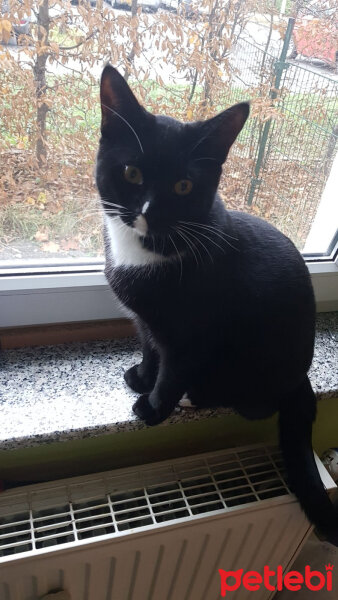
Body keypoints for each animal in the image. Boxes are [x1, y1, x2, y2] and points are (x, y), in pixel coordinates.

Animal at [95, 64, 338, 544]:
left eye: (183, 185)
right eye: (131, 173)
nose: (149, 210)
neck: (149, 250)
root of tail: (301, 377)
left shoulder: (193, 332)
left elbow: (173, 369)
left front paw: (153, 406)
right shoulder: (146, 322)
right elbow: (150, 347)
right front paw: (141, 376)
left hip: (258, 368)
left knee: (254, 403)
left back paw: (197, 396)